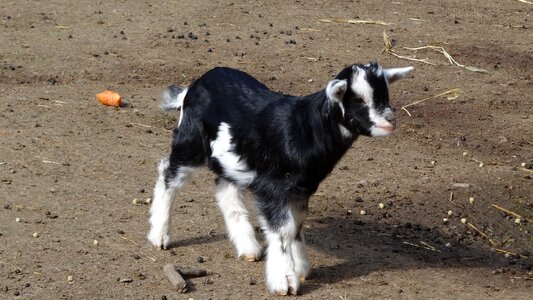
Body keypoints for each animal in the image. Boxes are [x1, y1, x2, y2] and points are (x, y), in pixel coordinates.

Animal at [148, 62, 414, 294]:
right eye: (358, 99)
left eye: (385, 95)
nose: (390, 121)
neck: (306, 130)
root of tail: (193, 86)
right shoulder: (273, 189)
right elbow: (283, 230)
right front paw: (284, 280)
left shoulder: (300, 189)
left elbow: (296, 225)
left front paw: (300, 268)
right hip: (190, 143)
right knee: (168, 176)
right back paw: (159, 236)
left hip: (232, 158)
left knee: (225, 188)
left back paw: (248, 246)